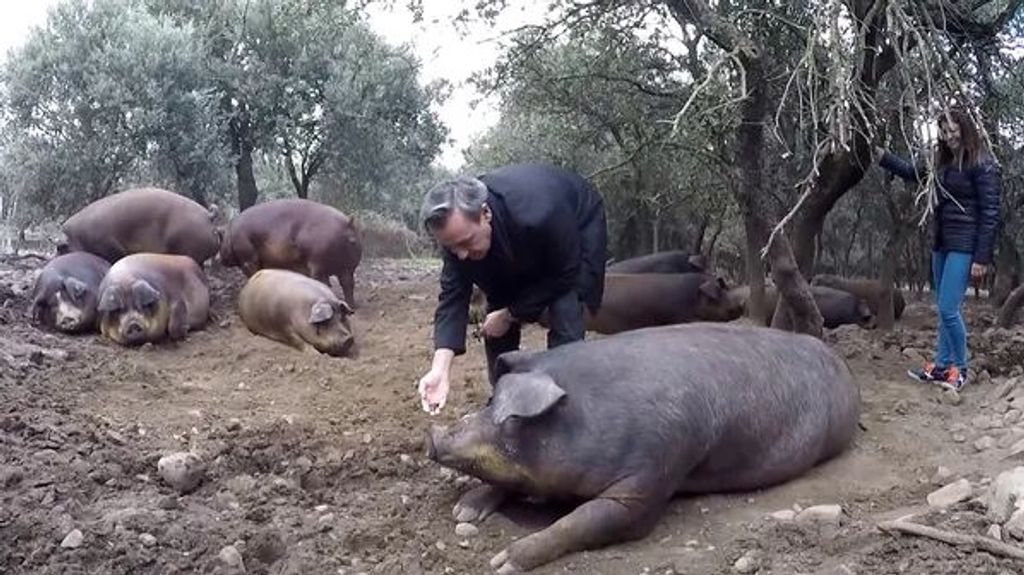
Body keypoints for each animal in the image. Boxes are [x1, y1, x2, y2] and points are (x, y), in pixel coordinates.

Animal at [218, 196, 362, 304]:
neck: (230, 234)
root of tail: (347, 224)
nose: (218, 258)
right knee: (348, 284)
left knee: (325, 282)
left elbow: (252, 274)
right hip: (349, 266)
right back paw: (352, 306)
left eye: (221, 239)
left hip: (318, 262)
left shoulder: (248, 260)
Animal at [425, 319, 864, 568]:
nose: (432, 434)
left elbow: (585, 519)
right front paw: (465, 512)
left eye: (513, 419)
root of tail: (840, 362)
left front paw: (502, 562)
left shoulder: (653, 474)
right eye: (488, 401)